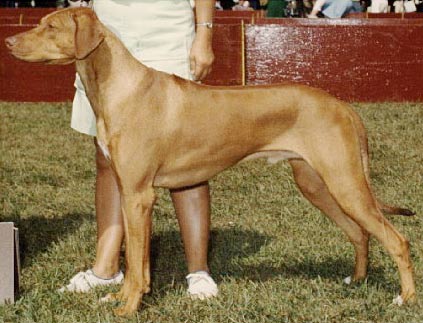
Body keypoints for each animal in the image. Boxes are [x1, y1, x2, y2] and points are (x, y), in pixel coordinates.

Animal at [5, 7, 418, 316]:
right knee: (359, 233)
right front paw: (119, 298)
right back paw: (357, 280)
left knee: (397, 240)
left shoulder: (140, 195)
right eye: (41, 22)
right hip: (317, 183)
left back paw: (406, 298)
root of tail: (343, 105)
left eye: (51, 26)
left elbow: (137, 264)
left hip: (345, 182)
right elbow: (137, 261)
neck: (120, 86)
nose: (8, 40)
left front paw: (128, 308)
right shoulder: (128, 192)